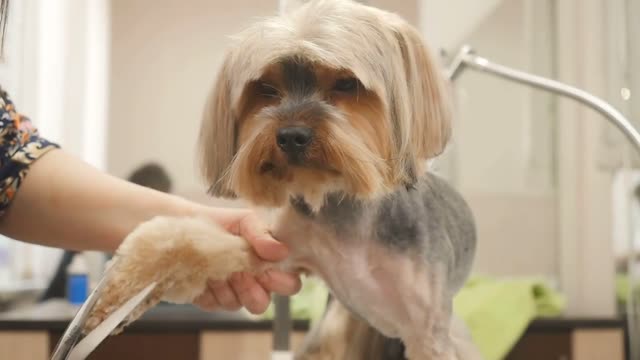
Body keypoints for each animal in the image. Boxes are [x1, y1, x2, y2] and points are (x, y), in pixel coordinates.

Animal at [198, 1, 478, 358]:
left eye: (346, 84)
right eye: (266, 89)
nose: (291, 136)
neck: (343, 202)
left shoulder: (428, 333)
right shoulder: (284, 252)